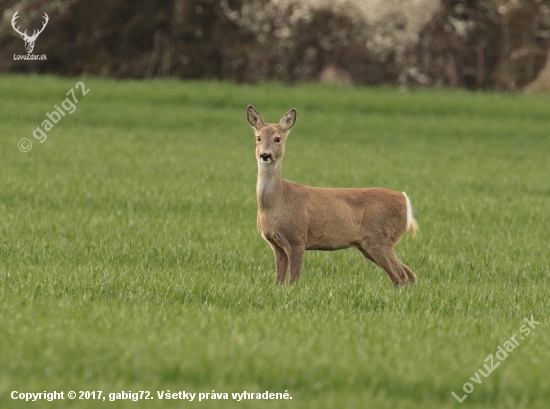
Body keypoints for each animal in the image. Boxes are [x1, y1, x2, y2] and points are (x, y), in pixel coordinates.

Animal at [248, 105, 420, 284]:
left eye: (278, 139)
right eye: (258, 138)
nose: (265, 155)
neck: (276, 201)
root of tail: (405, 199)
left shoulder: (297, 238)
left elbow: (294, 279)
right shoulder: (276, 244)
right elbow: (279, 281)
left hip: (379, 239)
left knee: (401, 276)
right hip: (369, 245)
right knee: (408, 275)